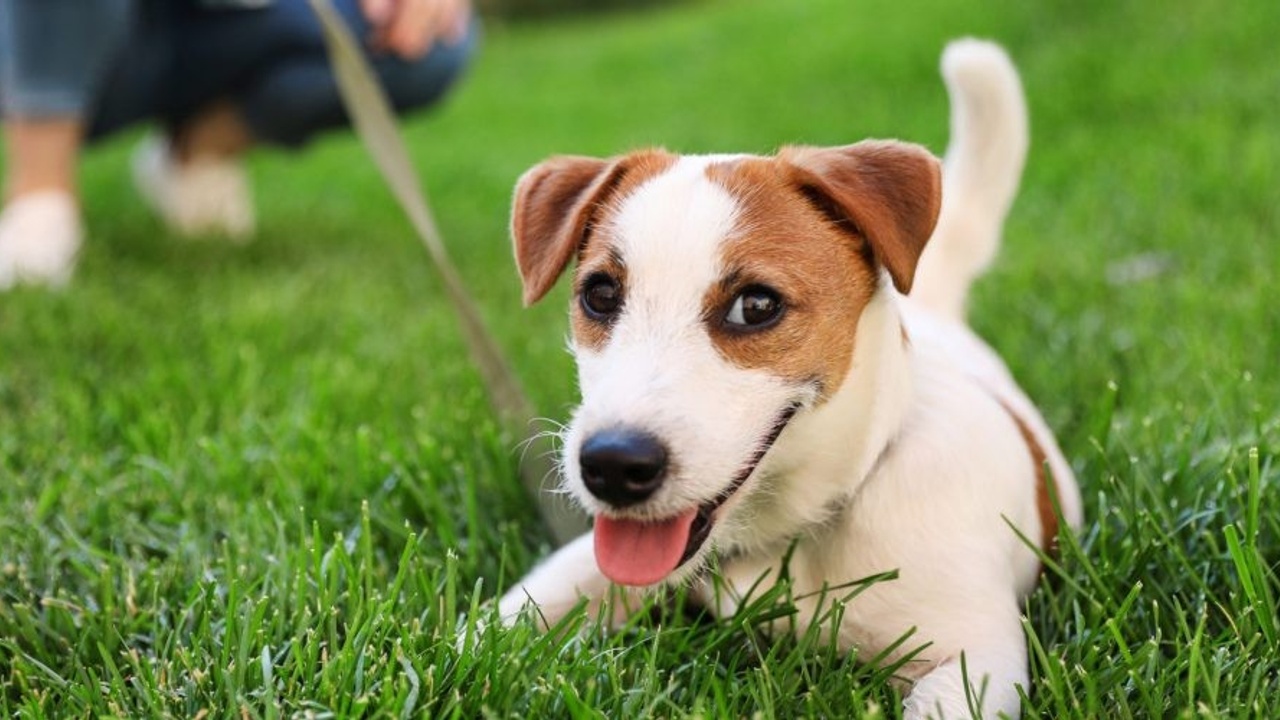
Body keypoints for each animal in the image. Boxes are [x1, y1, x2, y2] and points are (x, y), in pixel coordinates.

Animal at [496, 40, 1080, 717]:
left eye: (756, 305)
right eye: (599, 295)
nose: (612, 466)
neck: (798, 529)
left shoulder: (972, 657)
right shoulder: (589, 564)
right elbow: (508, 615)